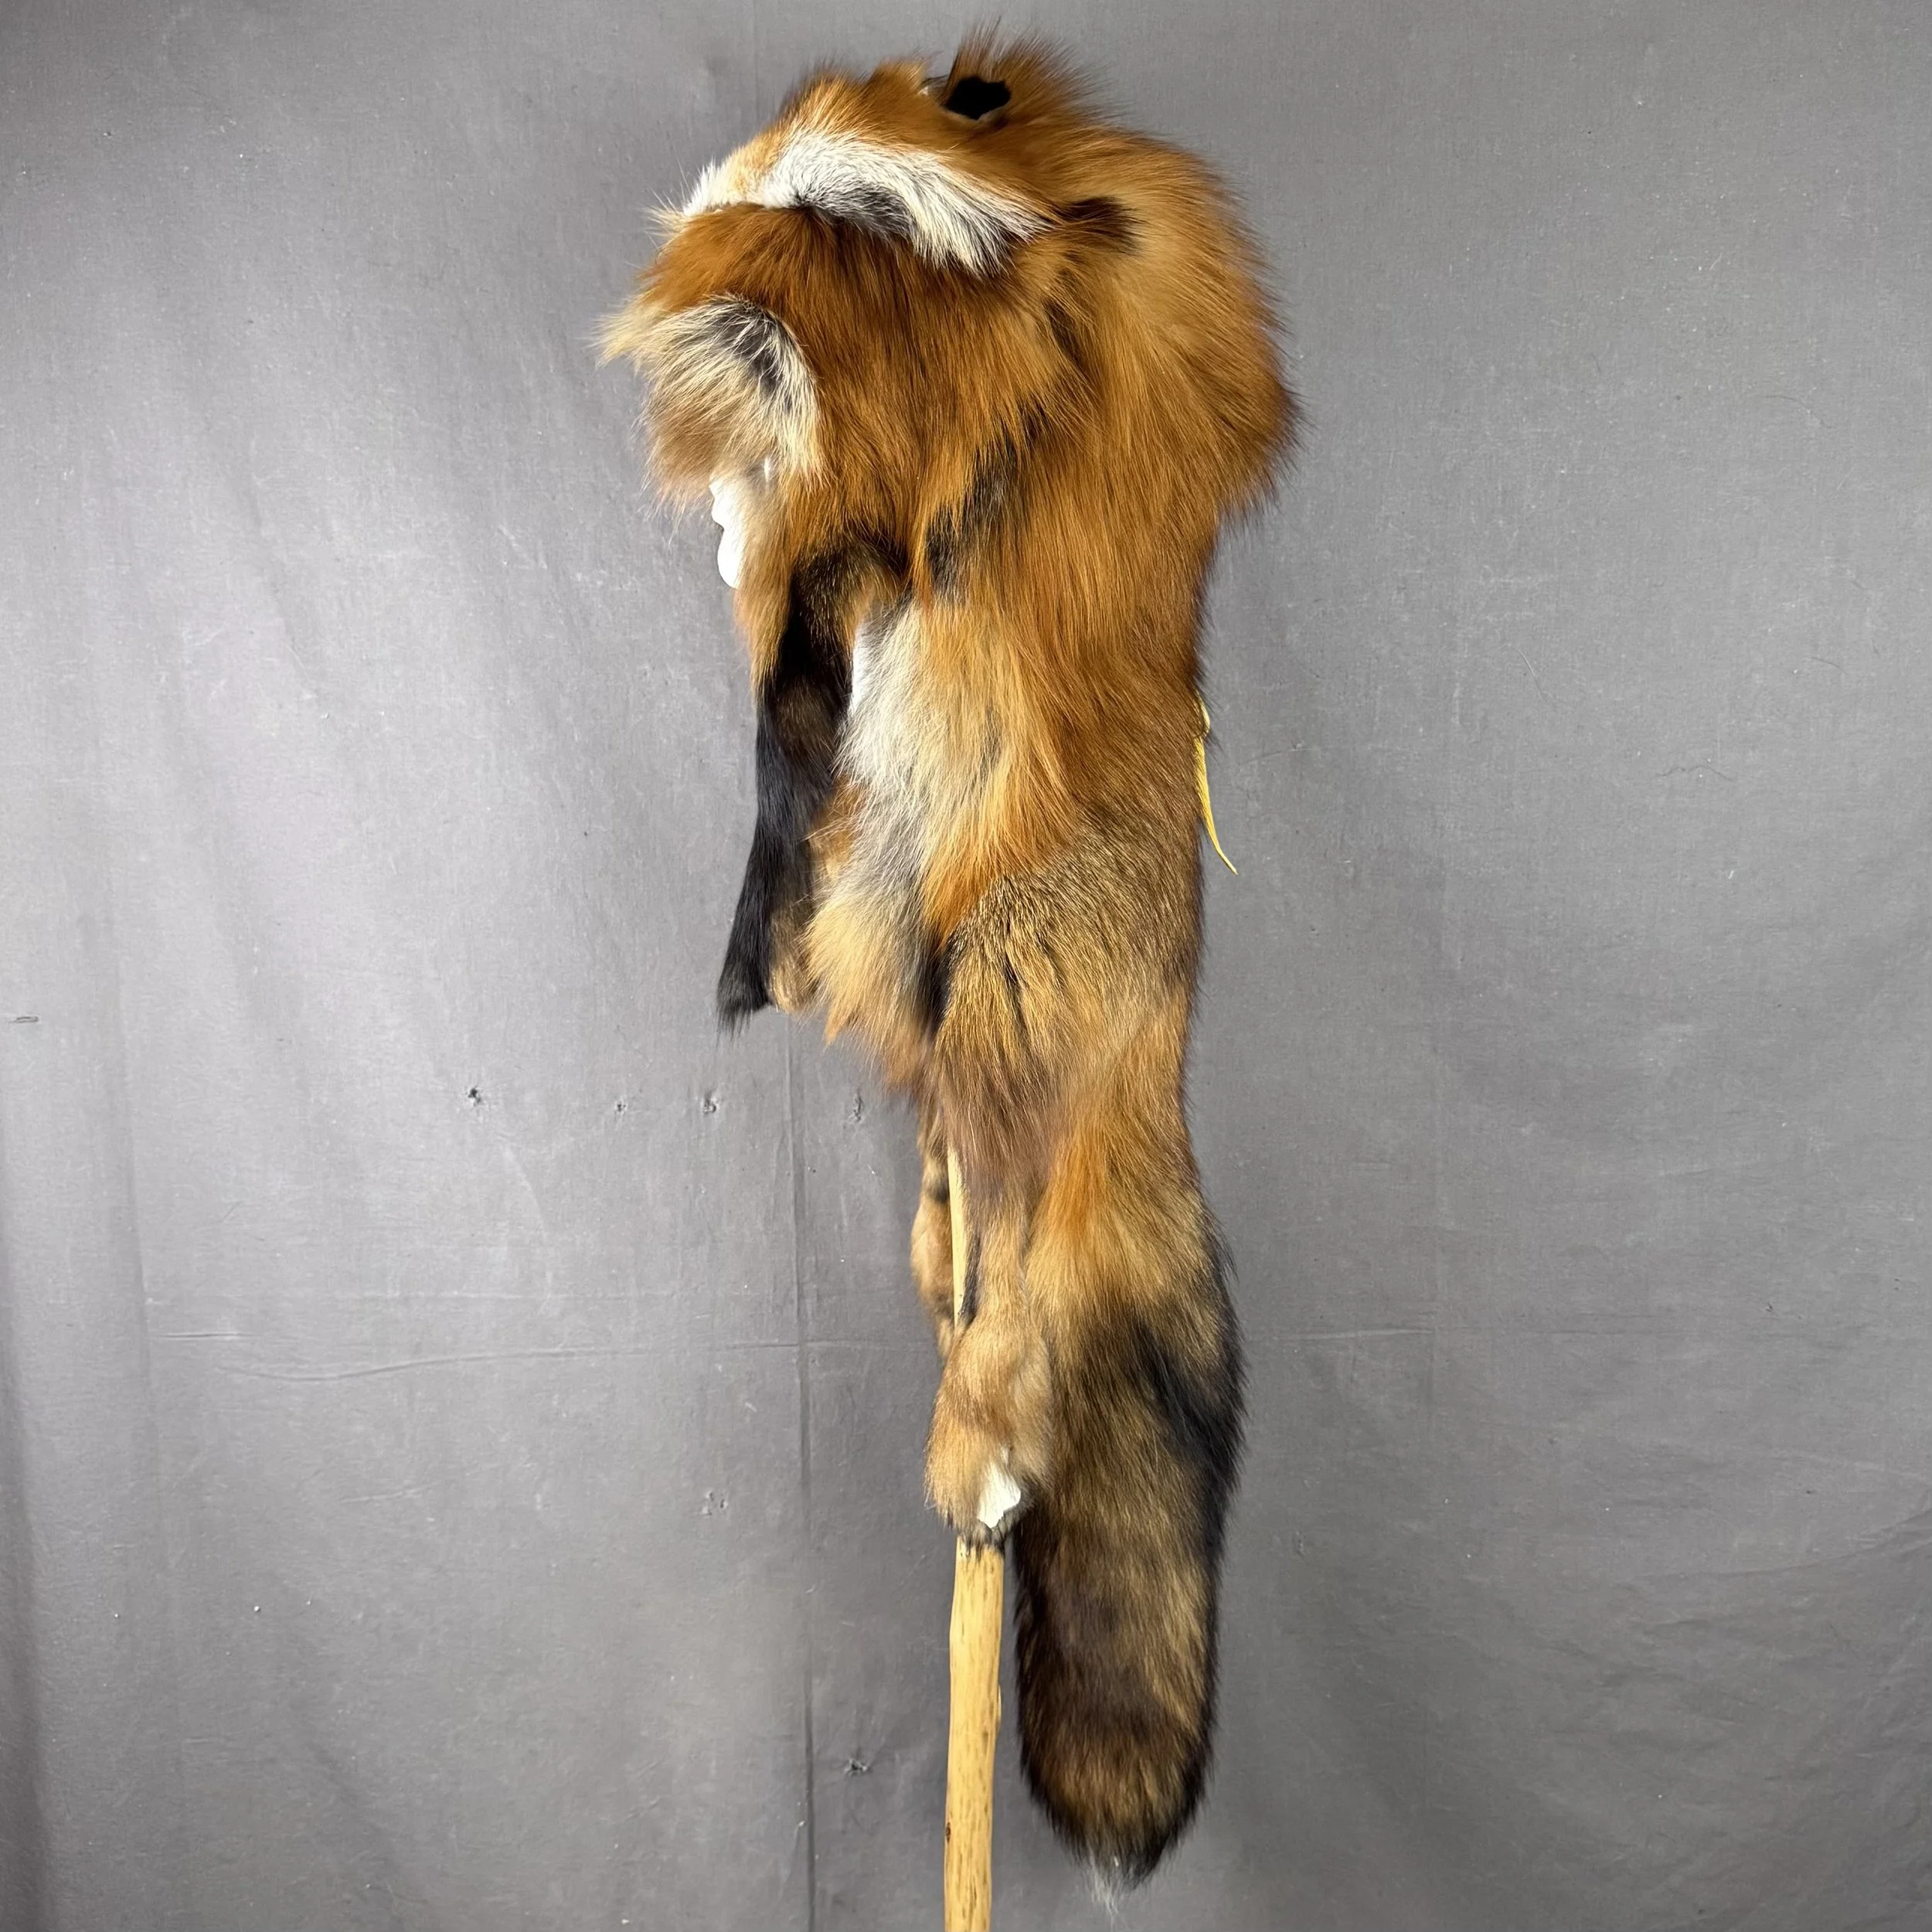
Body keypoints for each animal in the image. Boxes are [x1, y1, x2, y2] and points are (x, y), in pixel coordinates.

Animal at [603, 35, 1292, 1883]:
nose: (717, 524)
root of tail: (1164, 1039)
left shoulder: (1111, 346)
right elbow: (788, 748)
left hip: (1014, 1009)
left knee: (1024, 1327)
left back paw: (975, 1464)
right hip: (944, 1052)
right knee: (959, 1225)